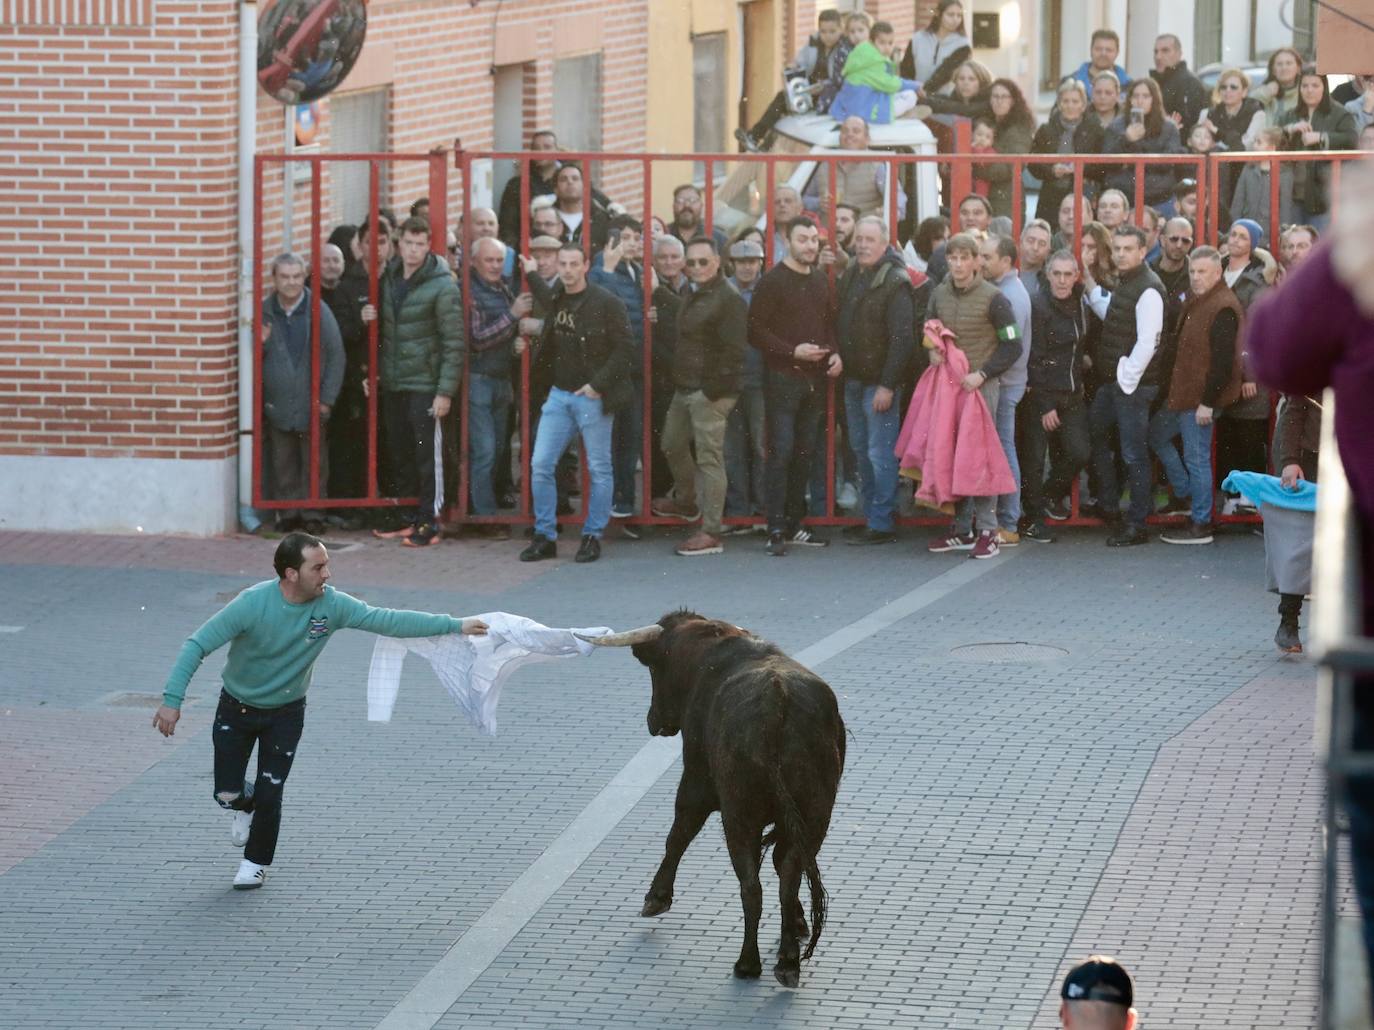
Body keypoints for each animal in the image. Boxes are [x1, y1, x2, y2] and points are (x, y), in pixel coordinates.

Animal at [590, 609, 846, 988]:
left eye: (654, 669)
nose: (653, 721)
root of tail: (778, 701)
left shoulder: (696, 781)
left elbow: (678, 834)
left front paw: (656, 898)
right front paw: (798, 923)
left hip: (739, 814)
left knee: (751, 886)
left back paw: (747, 963)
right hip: (816, 813)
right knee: (789, 872)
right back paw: (787, 962)